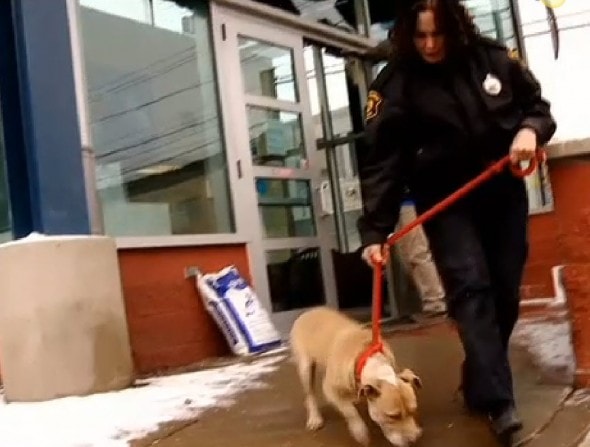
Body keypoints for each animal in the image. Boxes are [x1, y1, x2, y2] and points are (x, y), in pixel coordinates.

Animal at [290, 308, 420, 447]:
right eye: (392, 416)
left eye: (413, 410)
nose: (413, 440)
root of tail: (310, 310)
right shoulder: (330, 390)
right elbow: (350, 411)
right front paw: (360, 432)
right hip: (305, 368)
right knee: (310, 393)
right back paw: (315, 418)